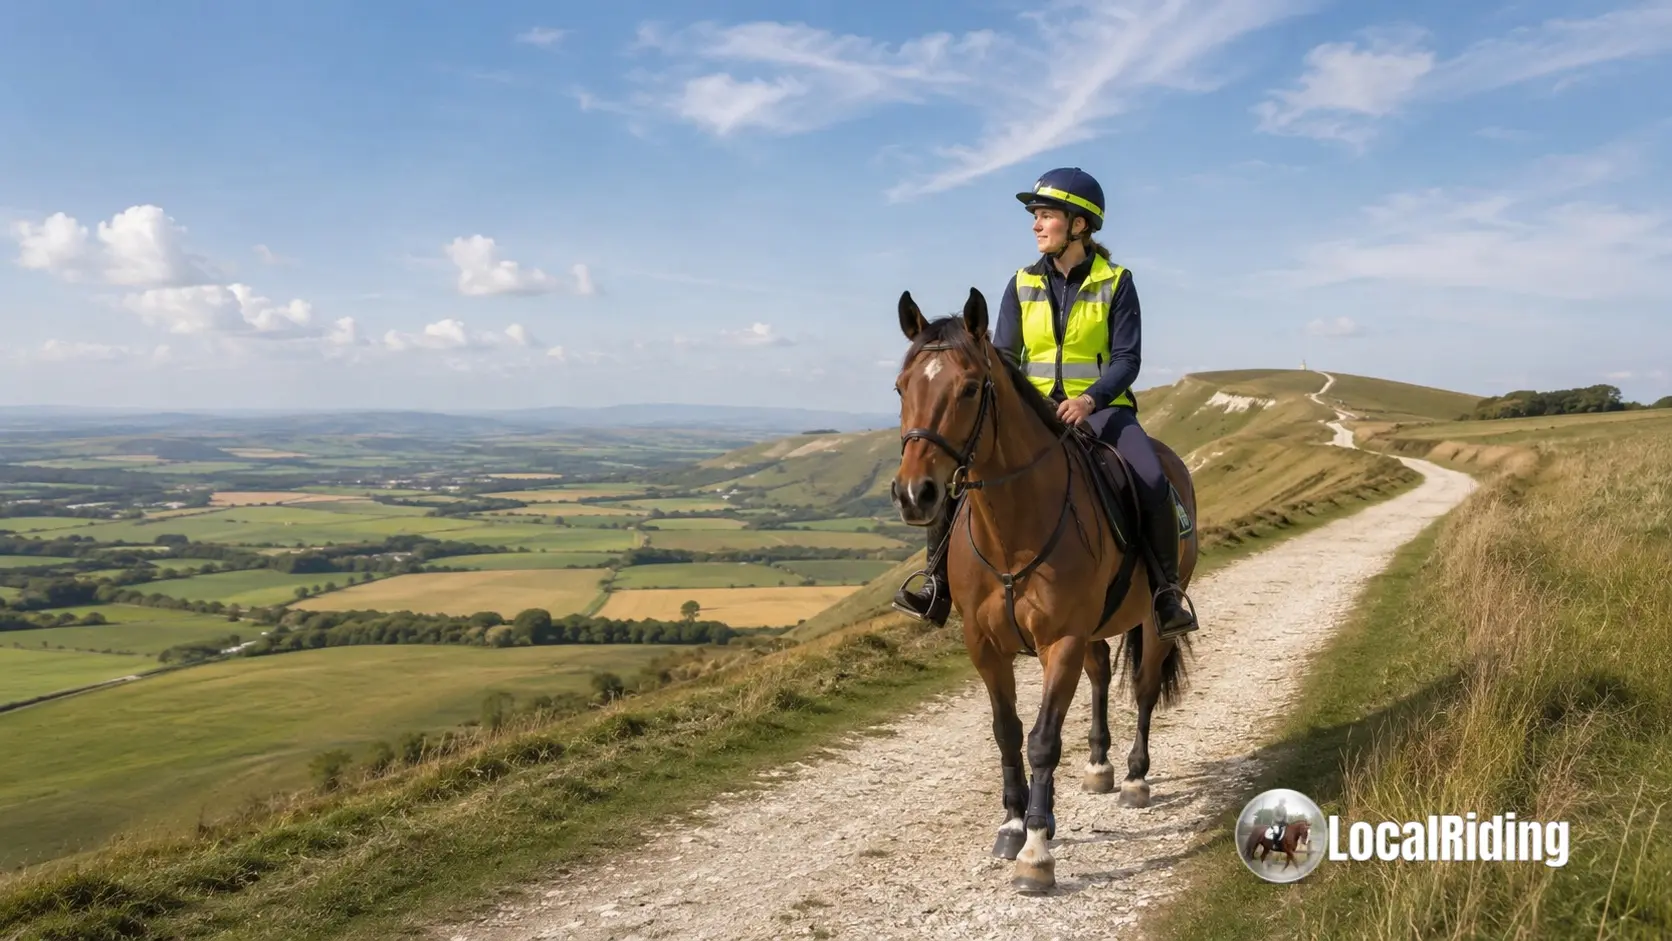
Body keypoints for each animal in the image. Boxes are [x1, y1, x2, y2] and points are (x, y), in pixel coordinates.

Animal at [890, 287, 1198, 892]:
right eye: (901, 387)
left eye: (969, 388)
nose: (916, 494)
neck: (1013, 527)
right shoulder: (984, 645)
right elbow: (1008, 732)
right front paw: (1014, 824)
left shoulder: (1061, 641)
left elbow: (1043, 740)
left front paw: (1036, 849)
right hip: (1096, 630)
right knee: (1100, 677)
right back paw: (1098, 767)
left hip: (1153, 624)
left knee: (1145, 689)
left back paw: (1134, 778)